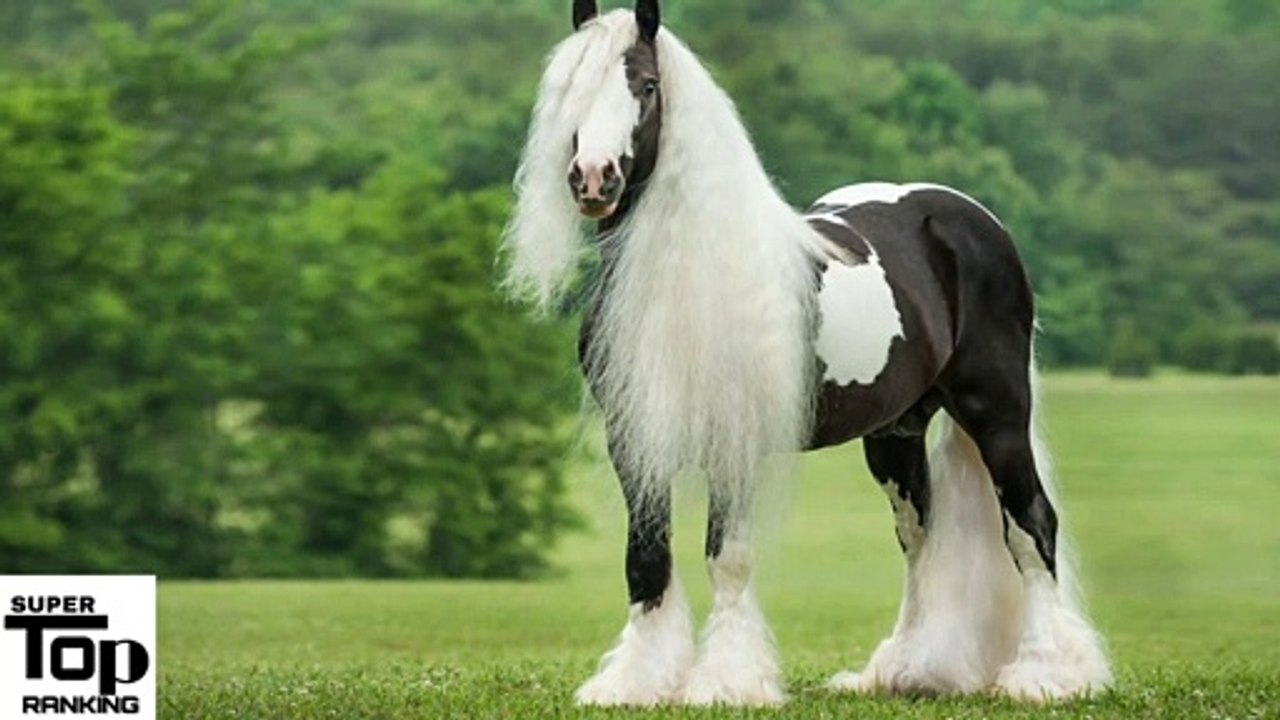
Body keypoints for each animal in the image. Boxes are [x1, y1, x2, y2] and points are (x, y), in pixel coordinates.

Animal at [503, 0, 1112, 707]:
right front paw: (636, 683)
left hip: (997, 414)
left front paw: (727, 682)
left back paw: (1046, 674)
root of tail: (970, 218)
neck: (681, 275)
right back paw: (908, 670)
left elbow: (728, 557)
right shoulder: (632, 440)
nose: (593, 179)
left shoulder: (733, 440)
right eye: (570, 87)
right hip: (896, 431)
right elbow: (647, 559)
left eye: (647, 86)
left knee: (1030, 525)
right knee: (920, 537)